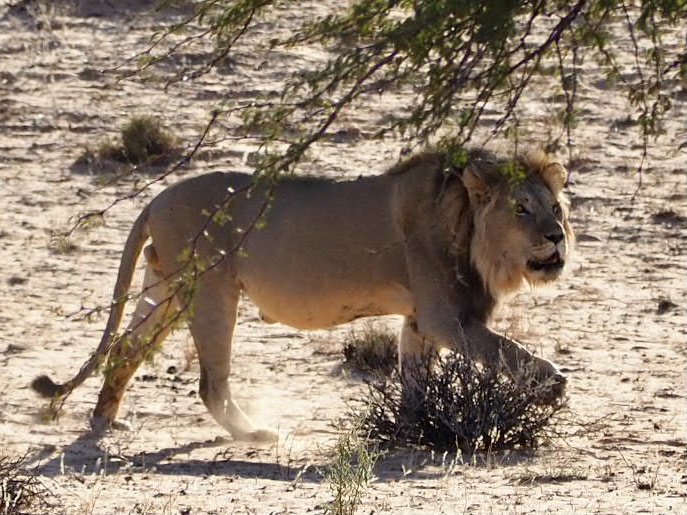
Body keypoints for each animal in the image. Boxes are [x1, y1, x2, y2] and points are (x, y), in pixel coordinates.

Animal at [30, 148, 576, 444]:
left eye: (555, 208)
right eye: (521, 209)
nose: (557, 238)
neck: (470, 229)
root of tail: (155, 199)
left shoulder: (421, 320)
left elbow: (416, 382)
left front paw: (412, 428)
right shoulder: (447, 317)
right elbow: (506, 350)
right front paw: (552, 386)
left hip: (166, 288)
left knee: (125, 347)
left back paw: (104, 421)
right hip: (211, 289)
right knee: (210, 381)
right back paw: (253, 432)